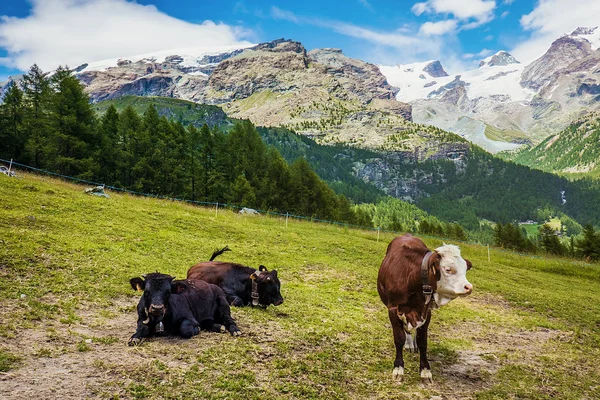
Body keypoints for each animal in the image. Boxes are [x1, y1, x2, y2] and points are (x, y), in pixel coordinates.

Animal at [380, 234, 474, 384]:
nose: (468, 287)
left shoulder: (426, 311)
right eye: (448, 269)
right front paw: (398, 369)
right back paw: (409, 344)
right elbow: (399, 339)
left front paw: (425, 371)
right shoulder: (393, 309)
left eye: (465, 269)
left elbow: (423, 341)